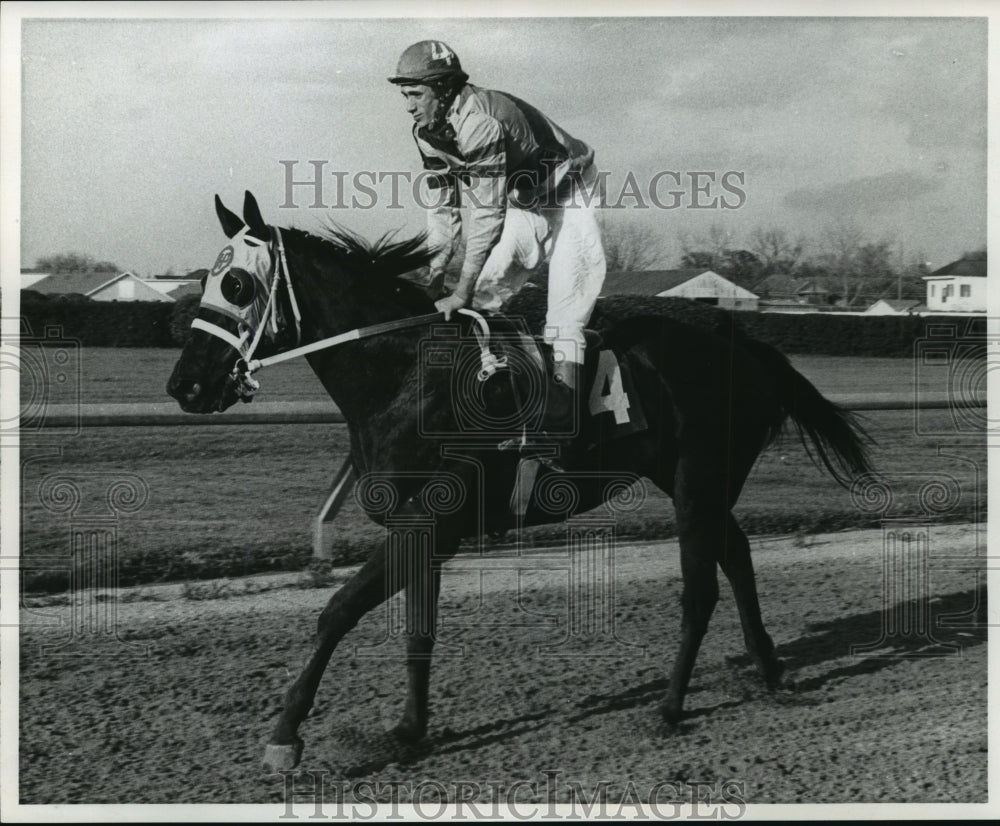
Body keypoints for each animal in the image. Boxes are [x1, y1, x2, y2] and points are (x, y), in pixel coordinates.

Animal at [168, 190, 872, 768]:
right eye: (205, 278)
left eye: (236, 283)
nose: (185, 386)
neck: (407, 375)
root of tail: (744, 342)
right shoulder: (421, 531)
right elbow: (418, 630)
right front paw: (409, 731)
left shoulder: (430, 523)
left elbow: (336, 612)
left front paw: (285, 733)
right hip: (698, 483)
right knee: (741, 557)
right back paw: (769, 669)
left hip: (698, 483)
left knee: (700, 592)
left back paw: (670, 708)